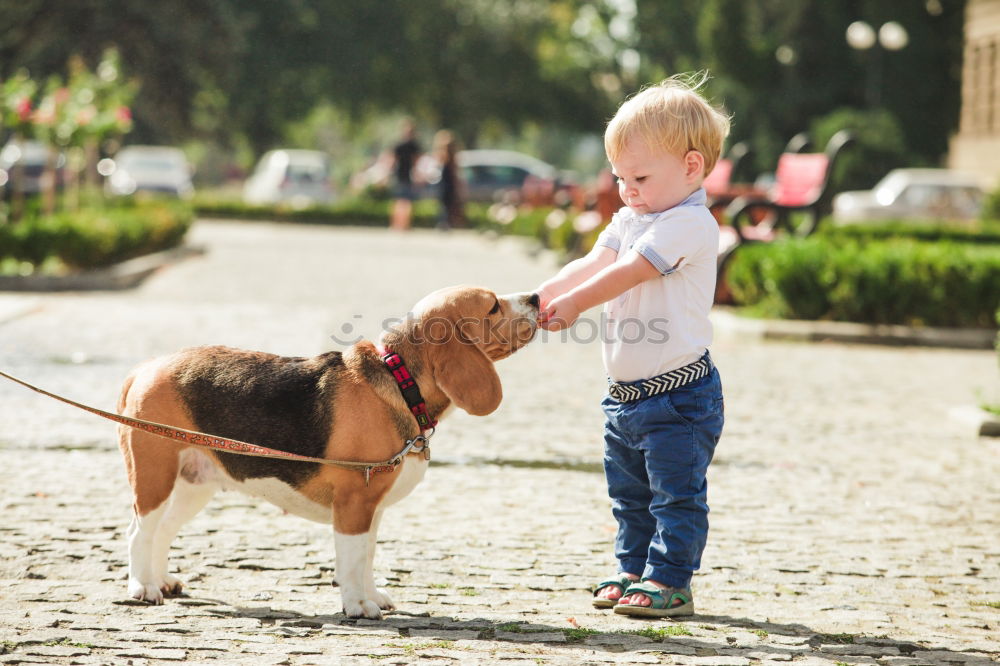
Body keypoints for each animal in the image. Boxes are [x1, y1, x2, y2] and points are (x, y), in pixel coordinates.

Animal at [116, 286, 540, 616]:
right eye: (492, 305)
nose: (536, 297)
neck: (399, 380)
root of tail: (146, 368)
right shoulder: (353, 504)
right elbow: (352, 560)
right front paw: (357, 606)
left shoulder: (372, 509)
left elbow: (367, 557)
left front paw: (372, 597)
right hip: (154, 477)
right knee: (140, 530)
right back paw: (143, 588)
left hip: (194, 485)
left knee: (162, 530)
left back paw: (161, 580)